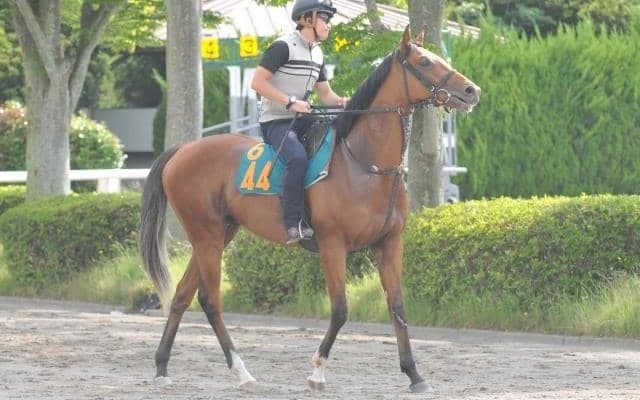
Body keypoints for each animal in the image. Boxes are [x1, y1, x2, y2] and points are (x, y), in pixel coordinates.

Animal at [139, 25, 480, 393]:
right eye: (424, 61)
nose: (471, 91)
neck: (364, 164)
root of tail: (183, 150)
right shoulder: (333, 245)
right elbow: (341, 310)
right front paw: (317, 371)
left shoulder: (389, 244)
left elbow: (397, 306)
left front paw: (415, 375)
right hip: (208, 237)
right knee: (210, 300)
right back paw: (241, 372)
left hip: (217, 235)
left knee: (182, 295)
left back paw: (162, 366)